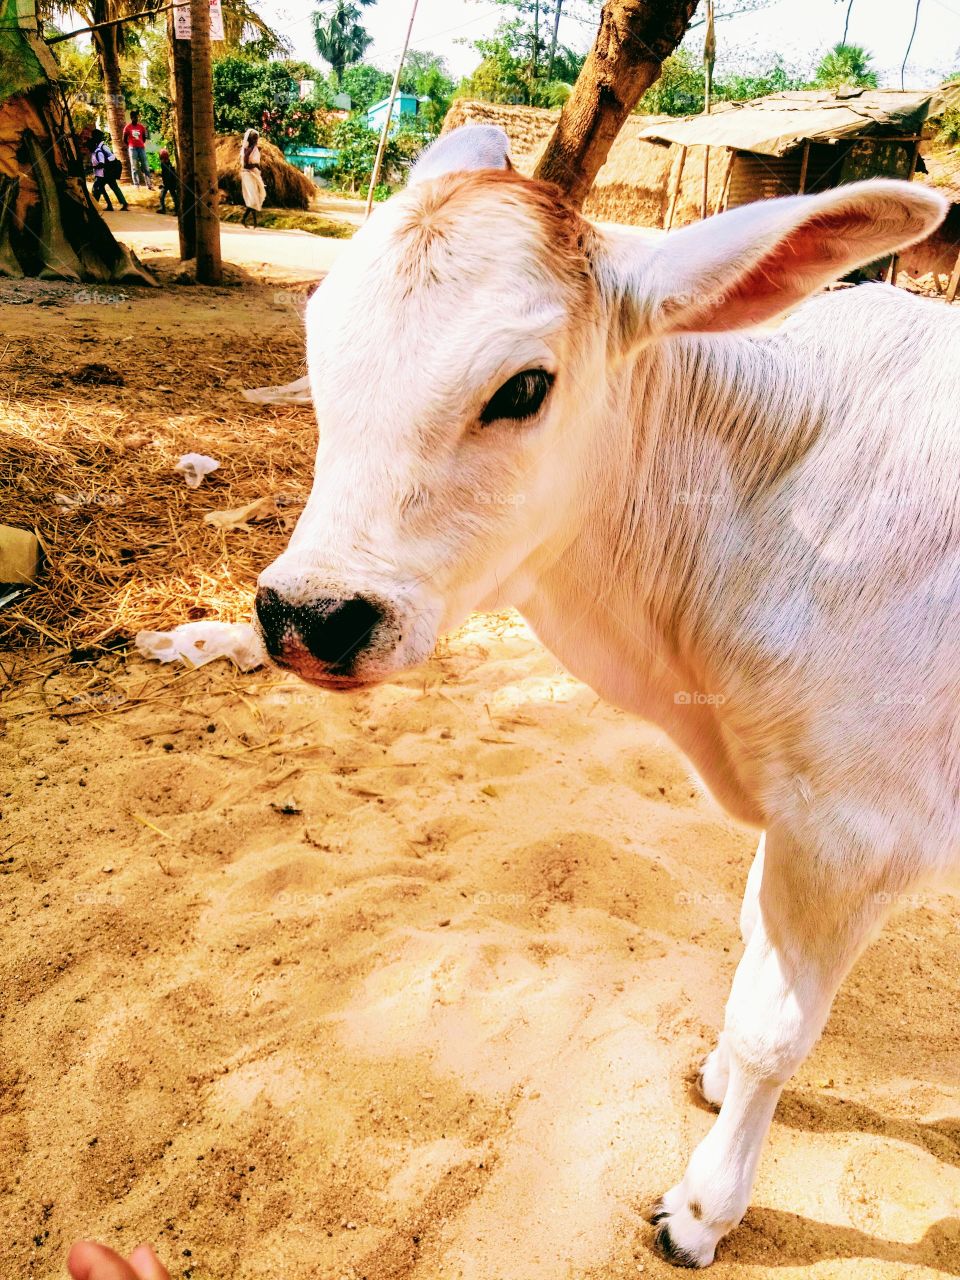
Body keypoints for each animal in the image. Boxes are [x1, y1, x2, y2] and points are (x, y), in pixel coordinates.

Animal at [254, 125, 957, 1267]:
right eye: (322, 347)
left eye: (524, 387)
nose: (309, 613)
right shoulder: (795, 820)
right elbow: (752, 951)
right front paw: (713, 1077)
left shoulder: (854, 836)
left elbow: (775, 1031)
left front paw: (706, 1206)